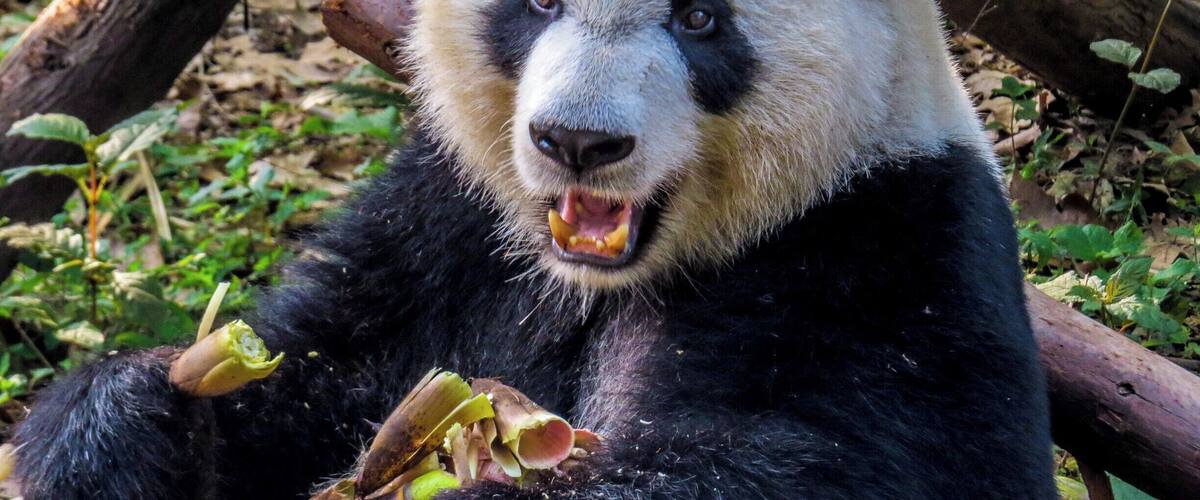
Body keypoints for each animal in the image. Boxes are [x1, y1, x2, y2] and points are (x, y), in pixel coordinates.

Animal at [12, 0, 1057, 498]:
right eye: (539, 1)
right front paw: (113, 426)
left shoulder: (884, 260)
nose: (577, 142)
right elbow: (320, 377)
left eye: (700, 17)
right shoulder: (448, 218)